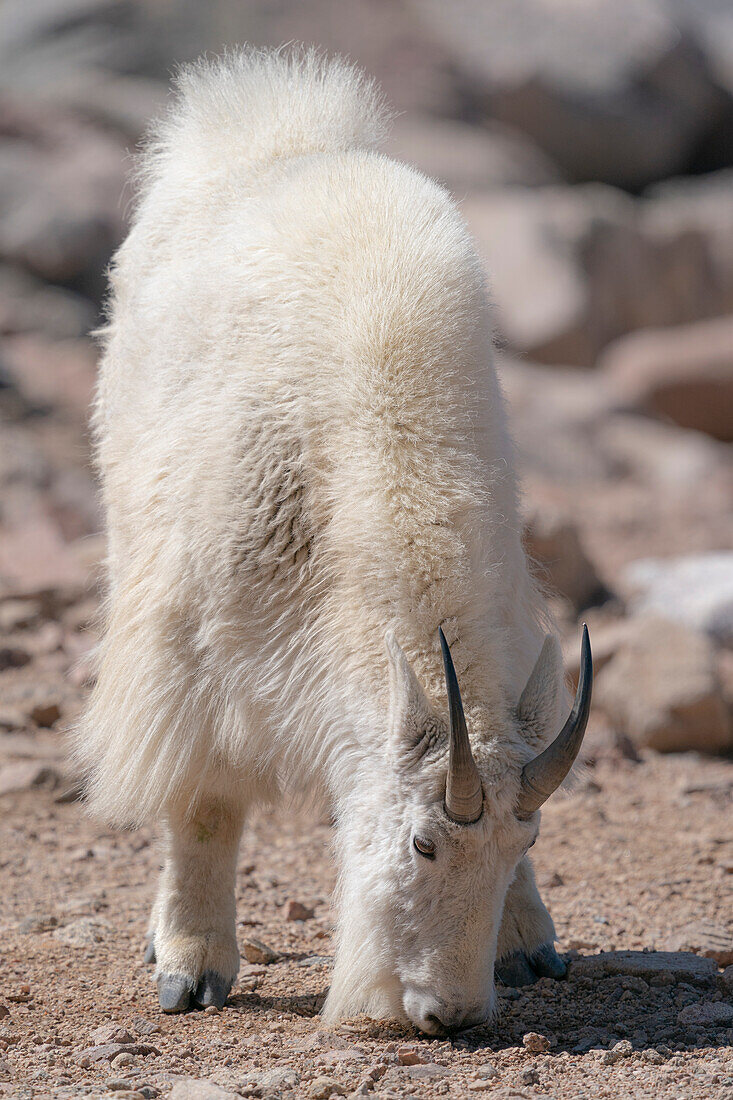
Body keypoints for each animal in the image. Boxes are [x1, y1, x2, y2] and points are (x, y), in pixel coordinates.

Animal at [74, 47, 589, 1034]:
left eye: (526, 842)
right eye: (422, 845)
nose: (450, 1016)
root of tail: (274, 132)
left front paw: (528, 938)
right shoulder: (195, 652)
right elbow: (205, 802)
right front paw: (190, 966)